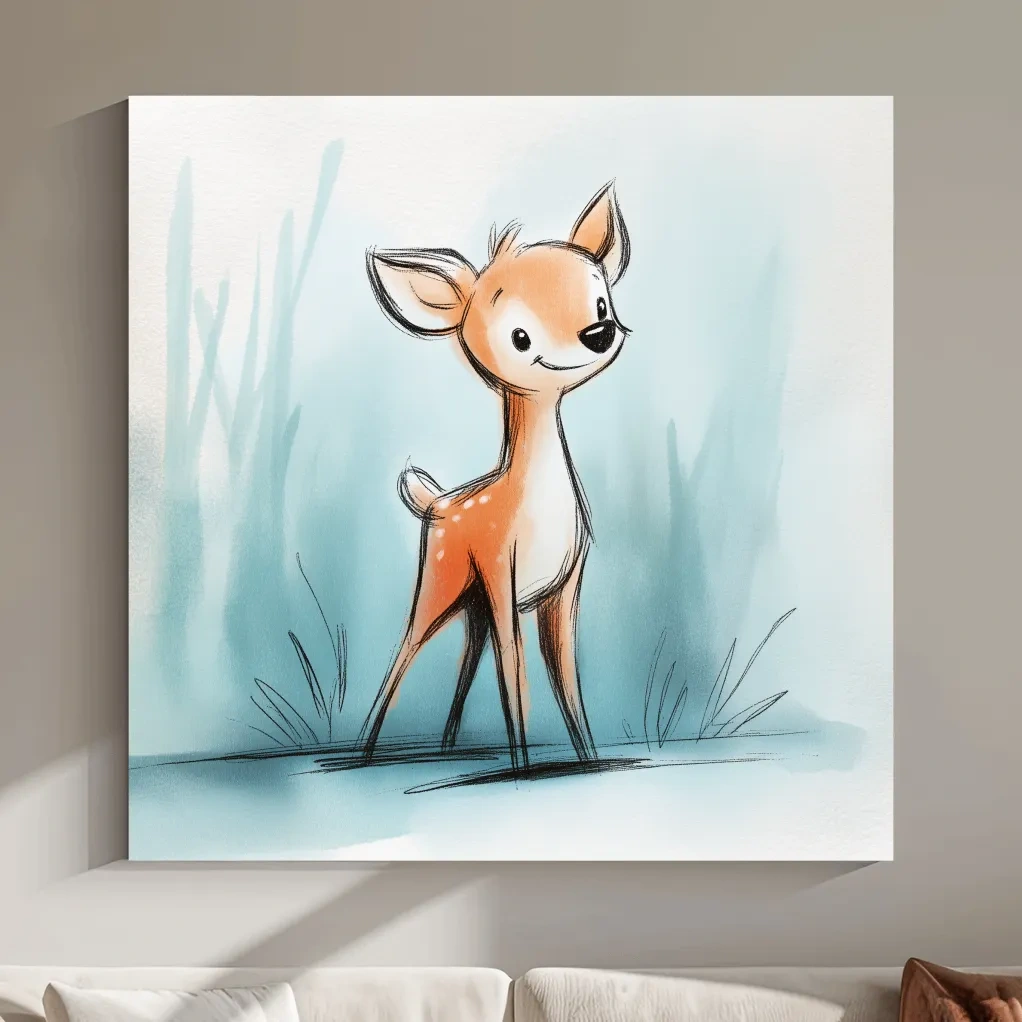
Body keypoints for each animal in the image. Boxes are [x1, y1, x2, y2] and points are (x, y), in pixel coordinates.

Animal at [360, 182, 631, 774]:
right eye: (519, 337)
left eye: (602, 301)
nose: (599, 332)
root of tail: (433, 502)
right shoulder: (502, 571)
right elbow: (517, 681)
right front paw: (525, 770)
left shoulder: (565, 587)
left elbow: (567, 686)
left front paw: (587, 762)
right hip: (441, 583)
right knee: (401, 658)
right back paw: (361, 753)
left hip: (472, 604)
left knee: (463, 670)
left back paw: (444, 749)